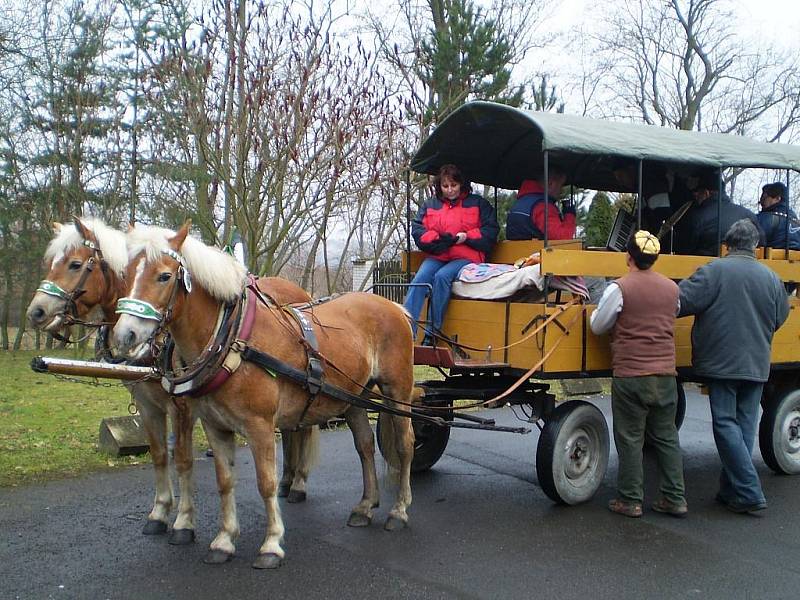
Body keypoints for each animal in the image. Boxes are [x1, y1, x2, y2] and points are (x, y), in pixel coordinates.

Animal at [112, 221, 416, 568]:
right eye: (124, 274)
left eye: (164, 276)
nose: (125, 335)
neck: (230, 339)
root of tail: (393, 305)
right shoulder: (215, 426)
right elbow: (224, 481)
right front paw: (224, 540)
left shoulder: (259, 426)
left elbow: (266, 482)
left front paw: (271, 543)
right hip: (353, 397)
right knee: (365, 446)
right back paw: (366, 506)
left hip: (398, 391)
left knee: (405, 446)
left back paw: (399, 510)